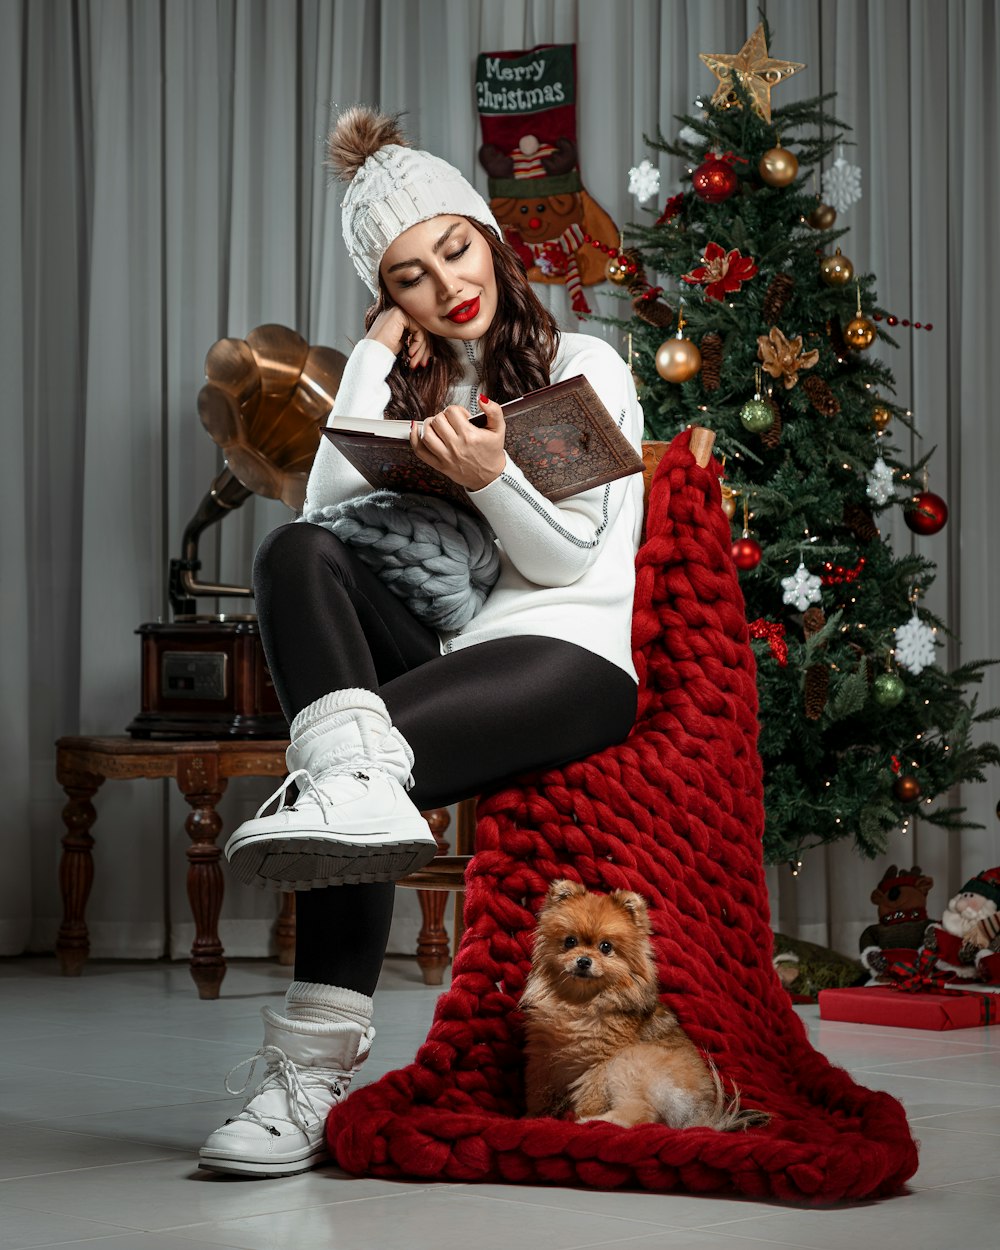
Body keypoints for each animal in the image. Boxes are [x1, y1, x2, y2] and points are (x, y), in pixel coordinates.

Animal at [520, 880, 770, 1135]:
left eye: (606, 947)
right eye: (570, 941)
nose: (583, 961)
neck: (581, 1002)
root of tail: (698, 1116)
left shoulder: (598, 1064)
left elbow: (591, 1097)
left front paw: (583, 1115)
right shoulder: (544, 1059)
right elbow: (540, 1094)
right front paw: (533, 1117)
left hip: (630, 1061)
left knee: (638, 1114)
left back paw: (589, 1121)